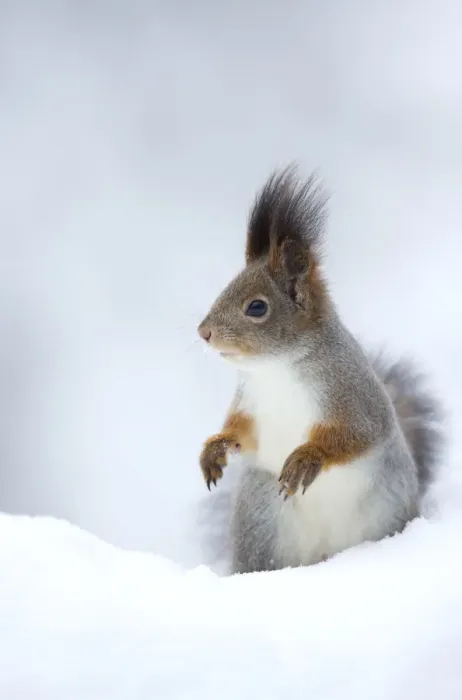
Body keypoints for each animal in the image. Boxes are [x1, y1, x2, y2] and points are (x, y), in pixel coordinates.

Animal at [197, 167, 444, 574]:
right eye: (225, 289)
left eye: (257, 307)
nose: (204, 333)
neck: (276, 368)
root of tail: (327, 557)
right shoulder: (250, 402)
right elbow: (242, 433)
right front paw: (215, 447)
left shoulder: (353, 393)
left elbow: (355, 435)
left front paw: (306, 458)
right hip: (261, 514)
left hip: (385, 507)